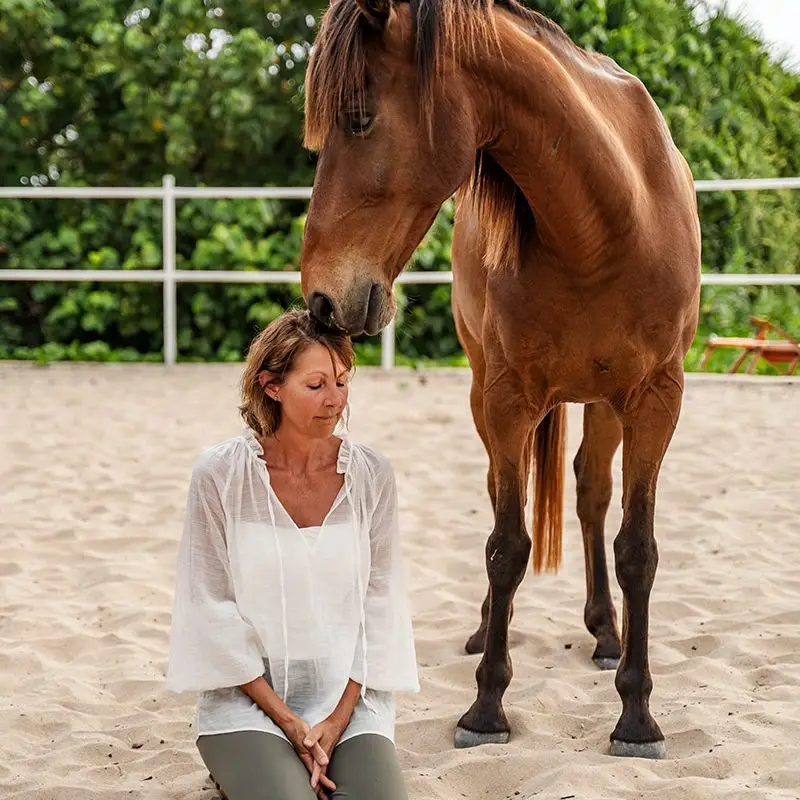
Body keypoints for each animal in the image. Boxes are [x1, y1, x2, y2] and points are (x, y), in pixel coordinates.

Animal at [299, 0, 701, 760]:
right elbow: (506, 546)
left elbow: (637, 549)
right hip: (486, 393)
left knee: (591, 492)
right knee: (500, 496)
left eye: (359, 116)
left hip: (605, 404)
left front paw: (637, 716)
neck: (602, 226)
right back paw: (492, 625)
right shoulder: (509, 398)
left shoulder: (655, 399)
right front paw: (486, 706)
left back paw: (606, 632)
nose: (322, 302)